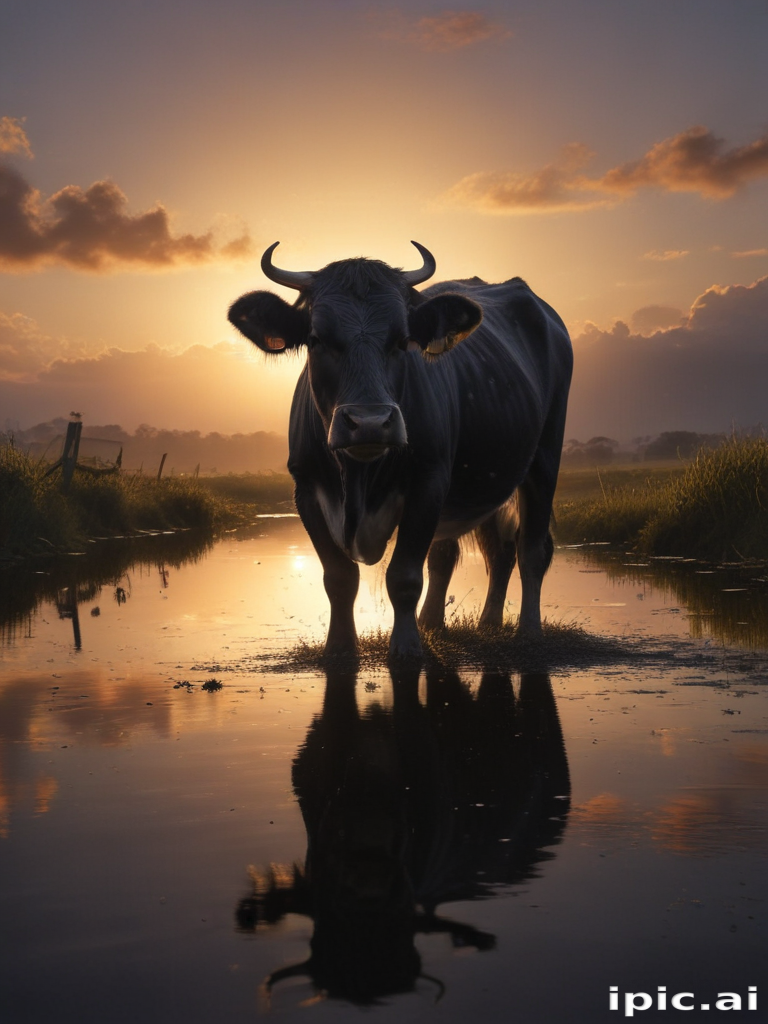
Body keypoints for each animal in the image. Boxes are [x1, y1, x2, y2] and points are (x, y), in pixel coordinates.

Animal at [229, 243, 572, 660]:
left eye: (402, 340)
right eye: (316, 339)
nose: (370, 422)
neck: (359, 477)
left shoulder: (429, 481)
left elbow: (405, 576)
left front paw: (407, 647)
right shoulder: (306, 489)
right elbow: (339, 577)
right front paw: (340, 647)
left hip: (544, 458)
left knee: (531, 550)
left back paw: (528, 631)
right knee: (488, 552)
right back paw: (468, 624)